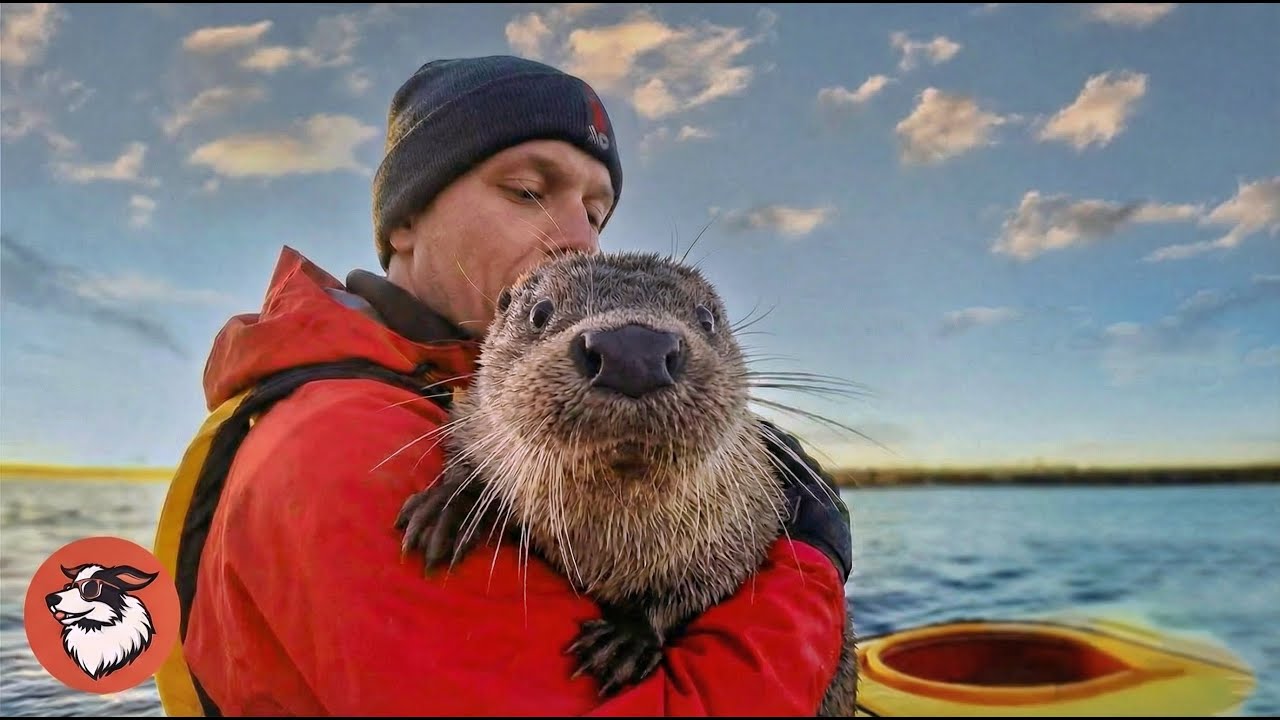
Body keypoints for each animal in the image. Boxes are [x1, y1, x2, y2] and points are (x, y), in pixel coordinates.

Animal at [395, 250, 857, 715]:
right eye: (540, 313)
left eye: (706, 318)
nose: (633, 350)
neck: (606, 546)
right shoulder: (471, 418)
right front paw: (451, 508)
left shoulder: (744, 524)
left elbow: (705, 586)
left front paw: (630, 638)